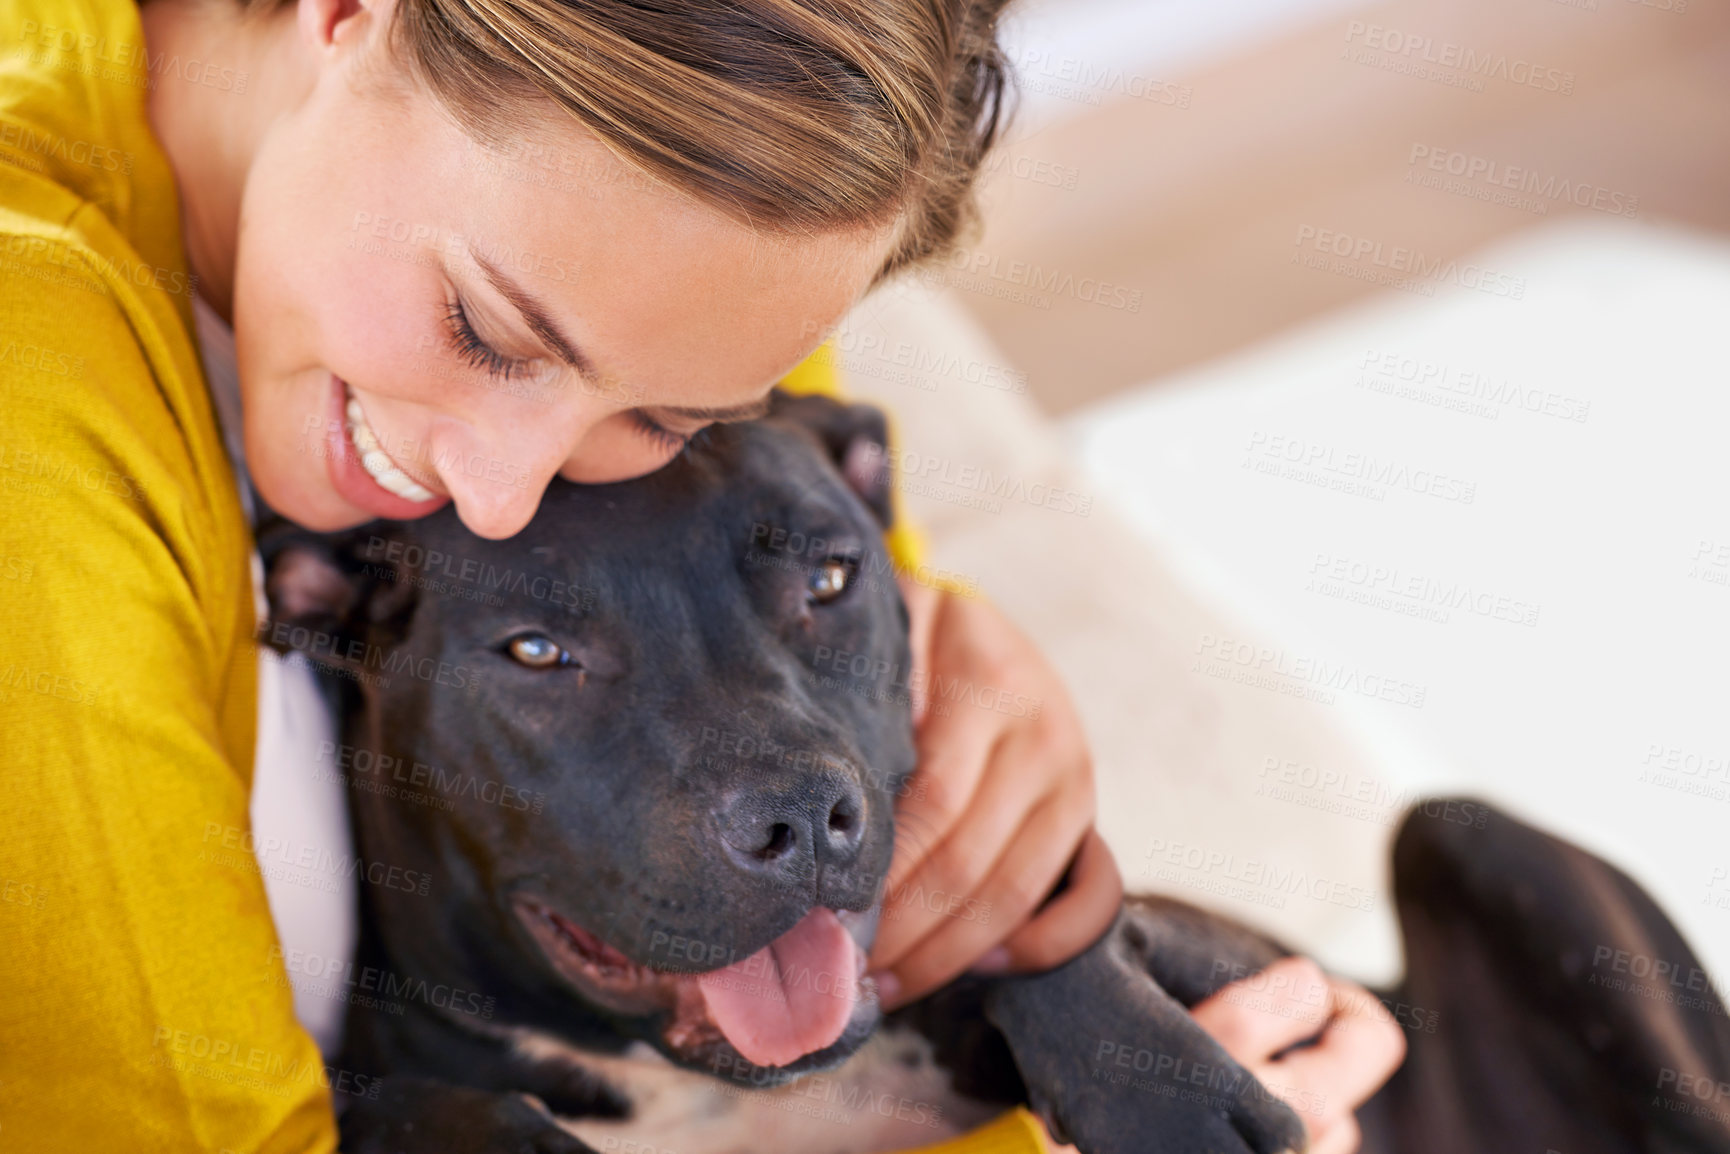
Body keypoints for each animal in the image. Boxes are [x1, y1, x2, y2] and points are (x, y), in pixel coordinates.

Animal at [262, 392, 1730, 1148]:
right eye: (536, 649)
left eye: (830, 577)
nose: (800, 816)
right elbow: (394, 1105)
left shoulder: (1265, 974)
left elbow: (1062, 924)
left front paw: (1163, 1096)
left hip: (1469, 832)